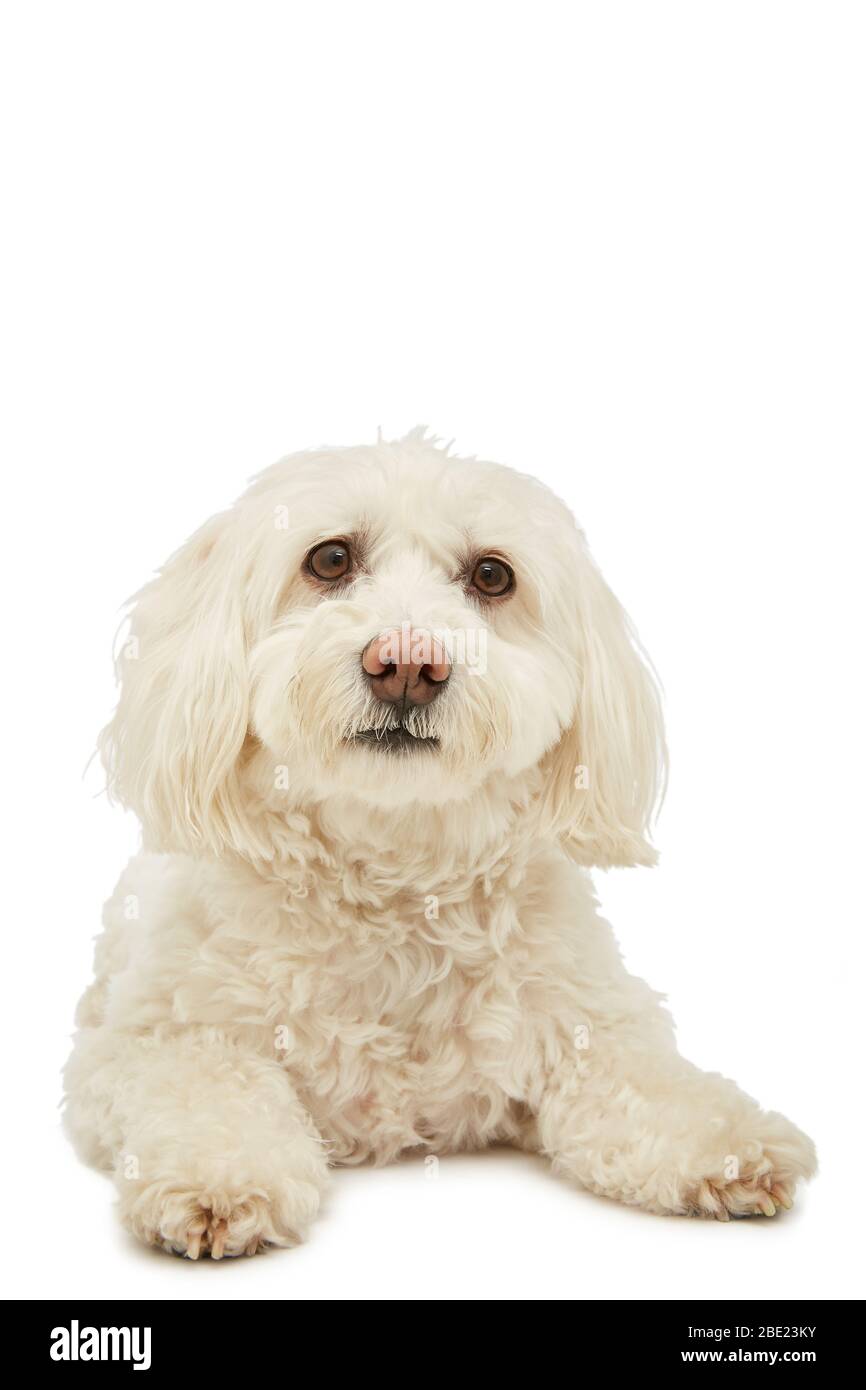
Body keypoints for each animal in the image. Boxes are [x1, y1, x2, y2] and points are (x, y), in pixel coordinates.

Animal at [64, 430, 817, 1262]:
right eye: (330, 558)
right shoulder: (150, 1041)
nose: (406, 664)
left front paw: (727, 1143)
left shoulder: (589, 1018)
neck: (395, 877)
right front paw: (220, 1178)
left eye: (492, 575)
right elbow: (206, 1083)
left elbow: (643, 1080)